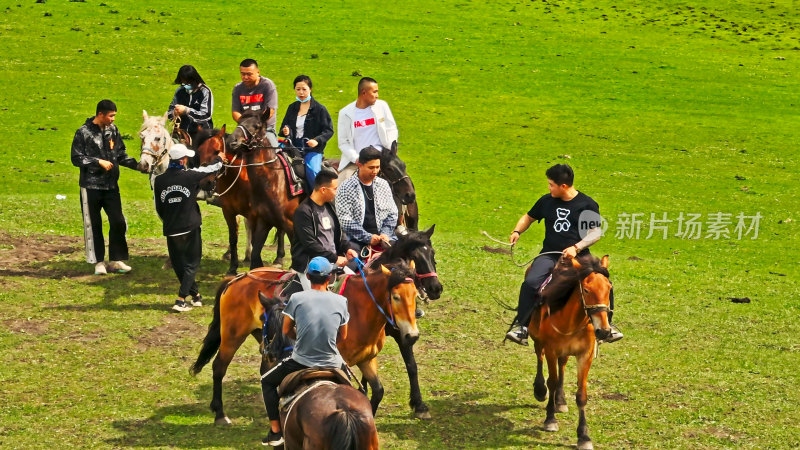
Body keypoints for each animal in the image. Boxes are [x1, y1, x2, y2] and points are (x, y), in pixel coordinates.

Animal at [532, 253, 612, 450]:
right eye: (586, 290)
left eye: (609, 288)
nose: (604, 331)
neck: (571, 322)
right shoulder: (551, 350)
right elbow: (552, 382)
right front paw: (550, 420)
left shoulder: (585, 355)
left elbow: (581, 395)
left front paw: (584, 436)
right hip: (538, 339)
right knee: (539, 356)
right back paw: (540, 390)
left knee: (562, 365)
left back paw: (560, 401)